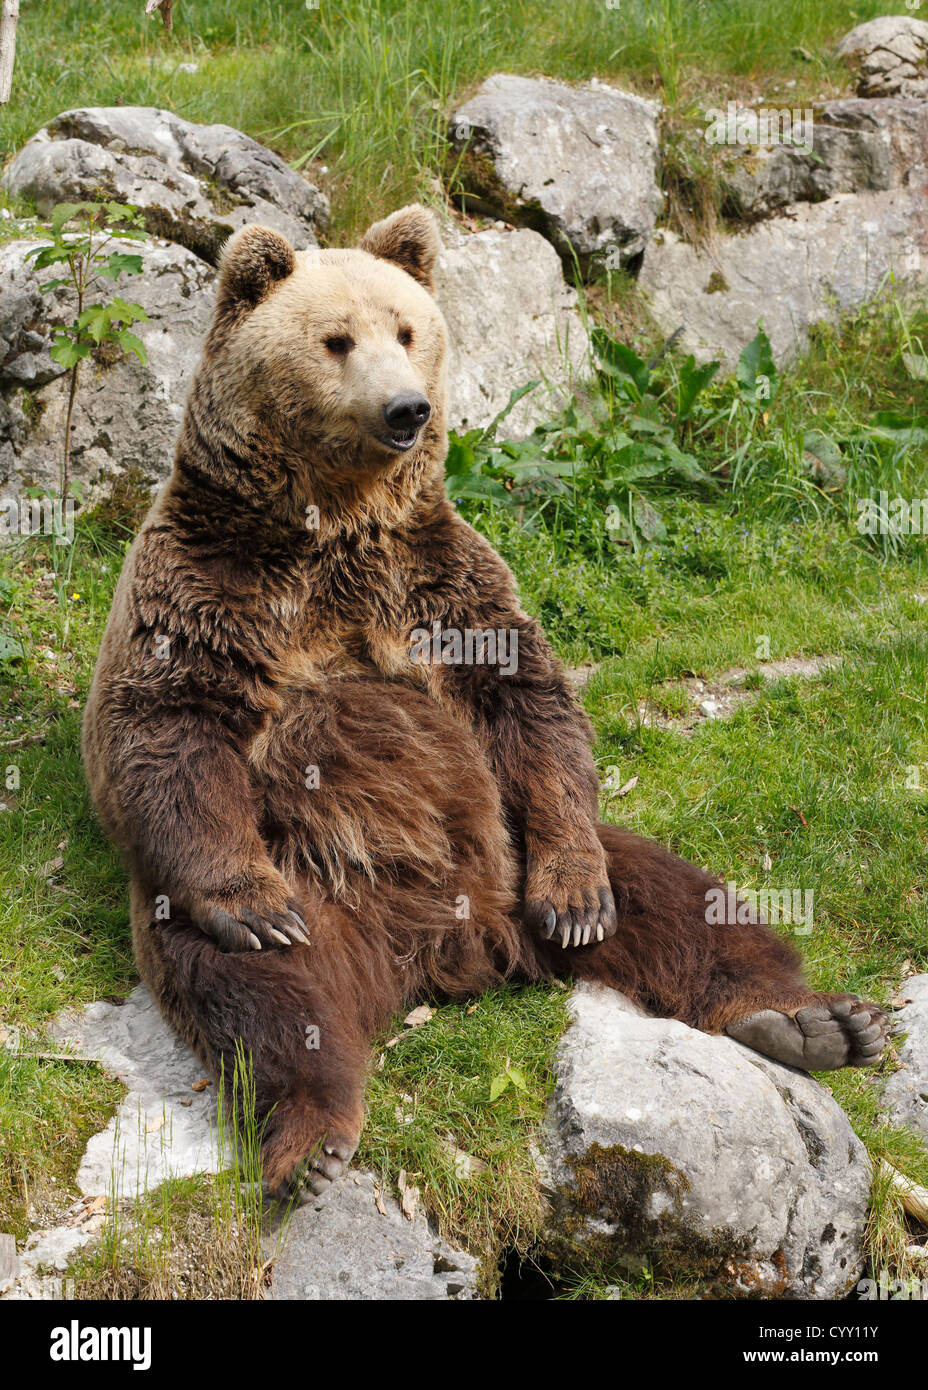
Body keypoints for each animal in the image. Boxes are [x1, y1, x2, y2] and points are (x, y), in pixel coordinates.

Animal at [82, 206, 890, 1200]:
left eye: (407, 329)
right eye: (335, 339)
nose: (407, 409)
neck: (331, 525)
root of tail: (452, 950)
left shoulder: (437, 576)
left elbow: (525, 697)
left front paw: (580, 898)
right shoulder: (211, 579)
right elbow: (170, 725)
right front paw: (254, 903)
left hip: (517, 849)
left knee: (678, 901)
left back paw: (808, 1020)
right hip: (295, 883)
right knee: (256, 995)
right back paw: (310, 1135)